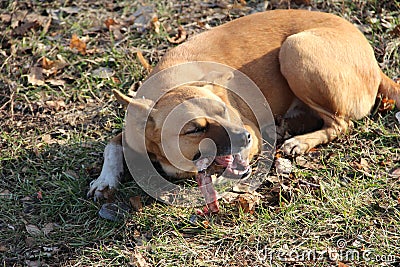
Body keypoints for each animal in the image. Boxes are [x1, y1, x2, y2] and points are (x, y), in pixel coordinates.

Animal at [88, 8, 400, 214]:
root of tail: (375, 62)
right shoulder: (130, 131)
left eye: (224, 111)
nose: (244, 138)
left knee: (340, 123)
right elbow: (110, 146)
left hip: (295, 49)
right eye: (194, 129)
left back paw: (299, 141)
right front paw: (105, 180)